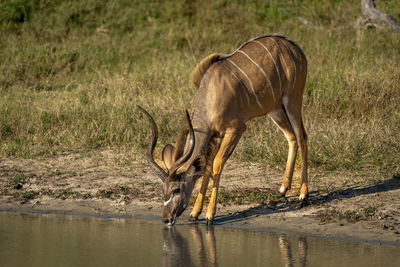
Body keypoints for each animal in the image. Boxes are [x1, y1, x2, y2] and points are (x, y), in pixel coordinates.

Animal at [139, 34, 308, 226]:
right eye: (163, 189)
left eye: (176, 189)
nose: (166, 218)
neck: (210, 96)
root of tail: (294, 48)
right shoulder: (216, 135)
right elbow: (207, 166)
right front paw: (195, 213)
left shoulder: (236, 128)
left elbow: (217, 163)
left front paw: (209, 215)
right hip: (275, 109)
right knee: (291, 138)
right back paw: (282, 190)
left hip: (293, 98)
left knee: (302, 137)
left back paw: (303, 196)